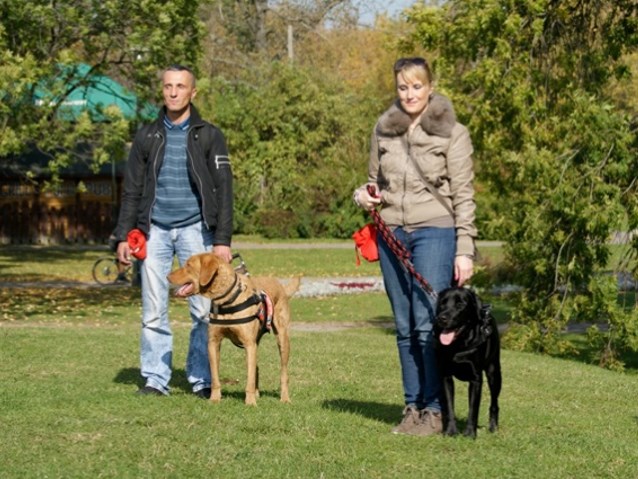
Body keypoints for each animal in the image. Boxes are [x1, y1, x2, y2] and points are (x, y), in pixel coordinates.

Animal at [169, 253, 302, 406]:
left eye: (189, 265)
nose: (167, 276)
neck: (226, 299)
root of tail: (280, 284)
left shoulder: (249, 344)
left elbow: (249, 379)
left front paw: (250, 402)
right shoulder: (213, 343)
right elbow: (215, 377)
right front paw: (215, 398)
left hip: (282, 339)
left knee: (283, 373)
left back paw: (284, 398)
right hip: (256, 342)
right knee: (256, 368)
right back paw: (257, 394)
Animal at [436, 286, 504, 440]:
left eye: (460, 304)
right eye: (442, 303)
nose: (441, 318)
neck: (459, 345)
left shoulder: (476, 379)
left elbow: (473, 409)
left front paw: (470, 434)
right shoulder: (445, 377)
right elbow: (449, 406)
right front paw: (450, 431)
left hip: (494, 373)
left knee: (494, 403)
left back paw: (493, 427)